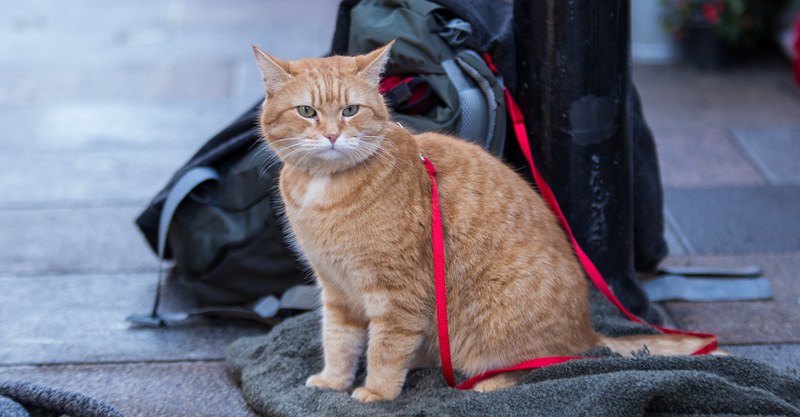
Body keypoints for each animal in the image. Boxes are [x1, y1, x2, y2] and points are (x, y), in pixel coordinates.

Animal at [252, 41, 720, 400]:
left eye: (350, 110)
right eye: (307, 111)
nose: (332, 135)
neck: (324, 189)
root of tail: (587, 331)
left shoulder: (398, 293)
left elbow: (384, 348)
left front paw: (377, 393)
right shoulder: (336, 290)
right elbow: (338, 341)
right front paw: (334, 382)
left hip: (492, 327)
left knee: (541, 366)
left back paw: (488, 383)